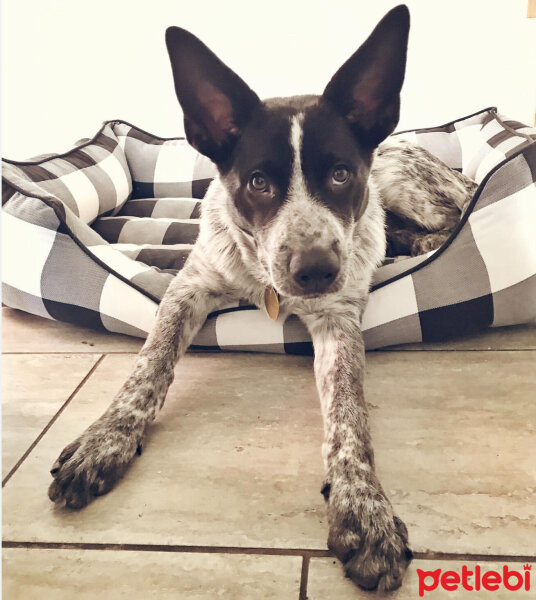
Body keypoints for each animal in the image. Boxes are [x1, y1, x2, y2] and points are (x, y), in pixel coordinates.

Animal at [49, 5, 478, 592]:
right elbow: (148, 368)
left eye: (341, 174)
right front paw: (104, 441)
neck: (267, 284)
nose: (317, 270)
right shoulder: (189, 286)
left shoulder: (339, 320)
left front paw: (362, 508)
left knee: (455, 214)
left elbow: (349, 415)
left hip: (403, 185)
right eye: (257, 183)